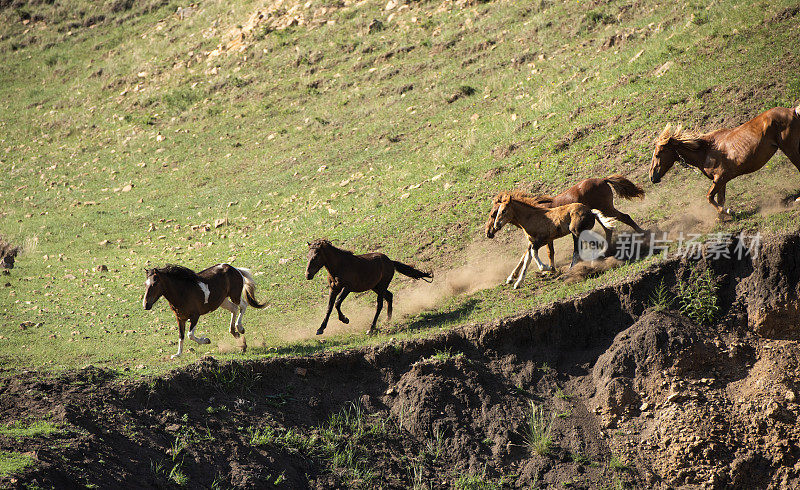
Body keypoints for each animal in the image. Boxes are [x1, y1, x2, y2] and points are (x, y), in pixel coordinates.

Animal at [304, 238, 432, 336]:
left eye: (315, 257)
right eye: (307, 256)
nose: (308, 275)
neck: (339, 266)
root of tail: (390, 261)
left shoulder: (347, 288)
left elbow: (337, 303)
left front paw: (345, 320)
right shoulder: (333, 289)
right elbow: (329, 308)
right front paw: (320, 329)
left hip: (382, 286)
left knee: (379, 305)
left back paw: (371, 328)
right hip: (375, 287)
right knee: (389, 296)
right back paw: (388, 319)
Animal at [648, 107, 800, 216]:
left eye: (658, 154)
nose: (652, 177)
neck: (706, 150)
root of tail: (792, 111)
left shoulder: (721, 177)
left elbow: (709, 197)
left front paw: (728, 212)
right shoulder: (721, 180)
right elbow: (719, 199)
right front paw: (721, 217)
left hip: (790, 149)